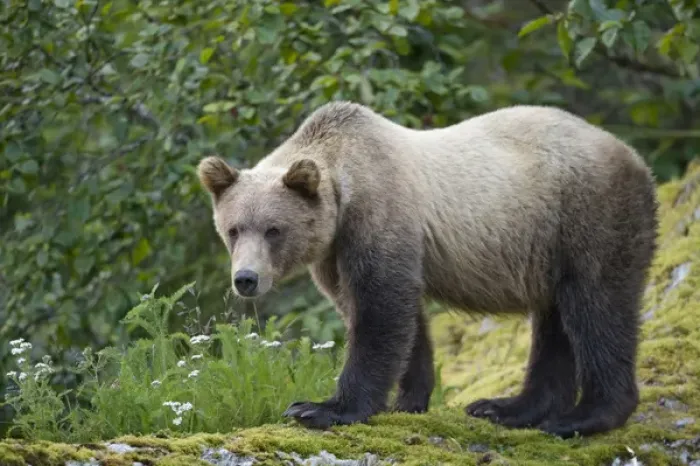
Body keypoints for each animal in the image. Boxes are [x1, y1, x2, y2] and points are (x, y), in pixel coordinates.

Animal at [197, 101, 658, 439]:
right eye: (234, 229)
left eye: (274, 229)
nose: (246, 279)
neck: (345, 189)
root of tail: (634, 156)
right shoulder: (333, 253)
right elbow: (394, 317)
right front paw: (408, 399)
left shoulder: (381, 213)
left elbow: (380, 311)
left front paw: (319, 408)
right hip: (547, 248)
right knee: (556, 320)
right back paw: (508, 408)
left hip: (587, 213)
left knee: (597, 306)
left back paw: (582, 416)